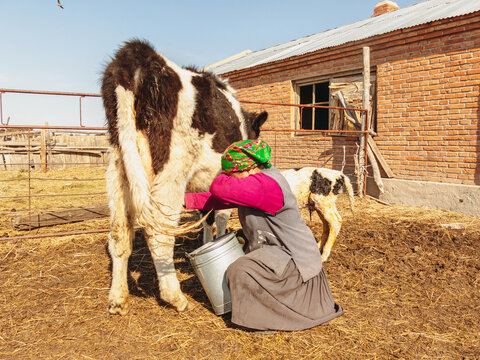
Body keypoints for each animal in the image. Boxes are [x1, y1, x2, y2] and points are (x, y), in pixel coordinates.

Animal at [101, 40, 268, 316]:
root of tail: (138, 56)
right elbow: (220, 215)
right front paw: (219, 239)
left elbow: (207, 215)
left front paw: (207, 241)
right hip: (171, 171)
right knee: (159, 232)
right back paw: (174, 296)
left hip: (119, 169)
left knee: (119, 232)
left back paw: (117, 299)